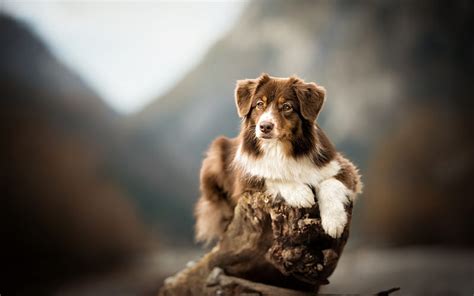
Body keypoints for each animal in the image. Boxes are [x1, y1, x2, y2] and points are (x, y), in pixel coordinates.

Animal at [194, 73, 362, 243]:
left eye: (287, 107)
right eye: (259, 104)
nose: (265, 126)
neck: (278, 148)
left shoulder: (342, 166)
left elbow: (330, 183)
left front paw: (335, 221)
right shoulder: (243, 181)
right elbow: (270, 177)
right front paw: (300, 192)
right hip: (216, 153)